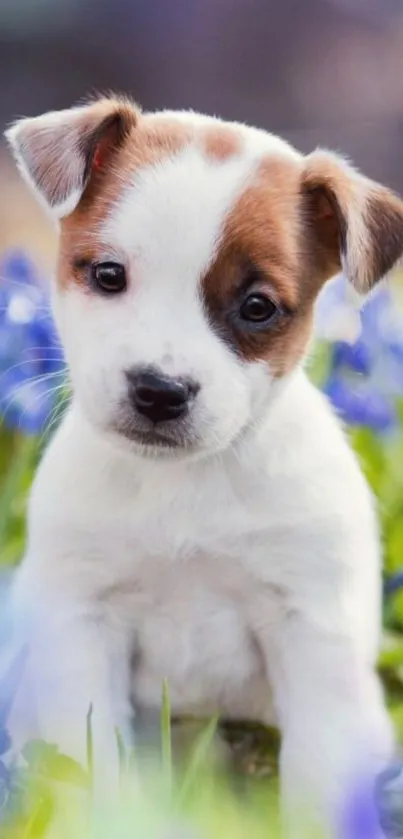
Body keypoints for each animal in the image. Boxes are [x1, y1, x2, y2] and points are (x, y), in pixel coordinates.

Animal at [3, 97, 403, 832]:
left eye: (257, 307)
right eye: (108, 275)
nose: (159, 390)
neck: (182, 482)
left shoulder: (312, 635)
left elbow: (318, 773)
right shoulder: (82, 626)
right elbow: (92, 759)